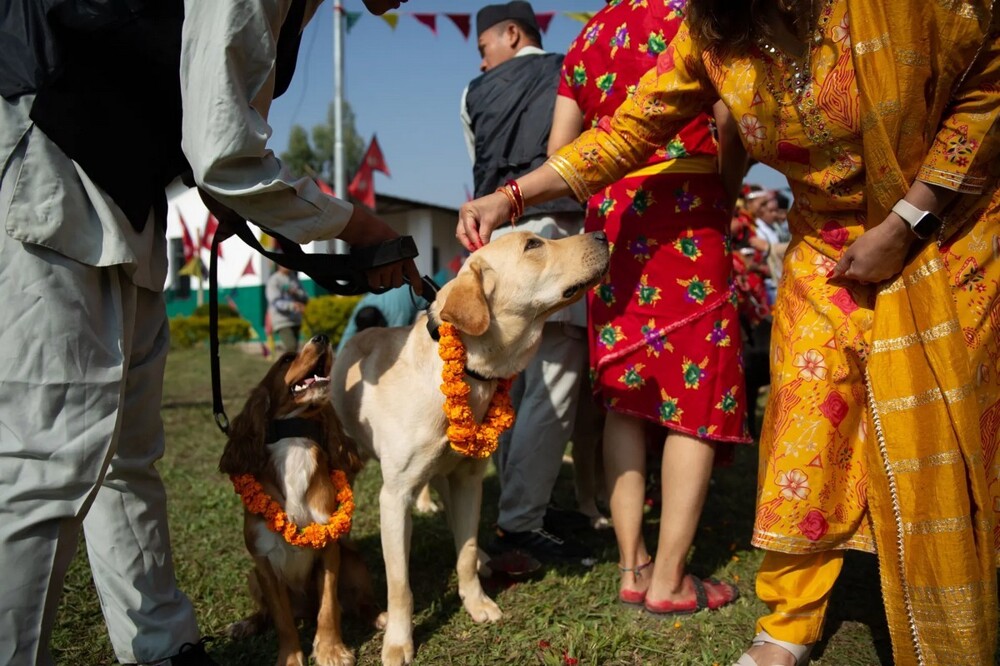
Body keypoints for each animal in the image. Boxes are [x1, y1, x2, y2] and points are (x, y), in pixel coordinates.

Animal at [332, 230, 604, 664]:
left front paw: (476, 602)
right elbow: (400, 584)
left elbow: (465, 548)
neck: (469, 375)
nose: (601, 233)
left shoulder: (469, 480)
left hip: (449, 472)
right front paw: (398, 641)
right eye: (533, 244)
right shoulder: (394, 497)